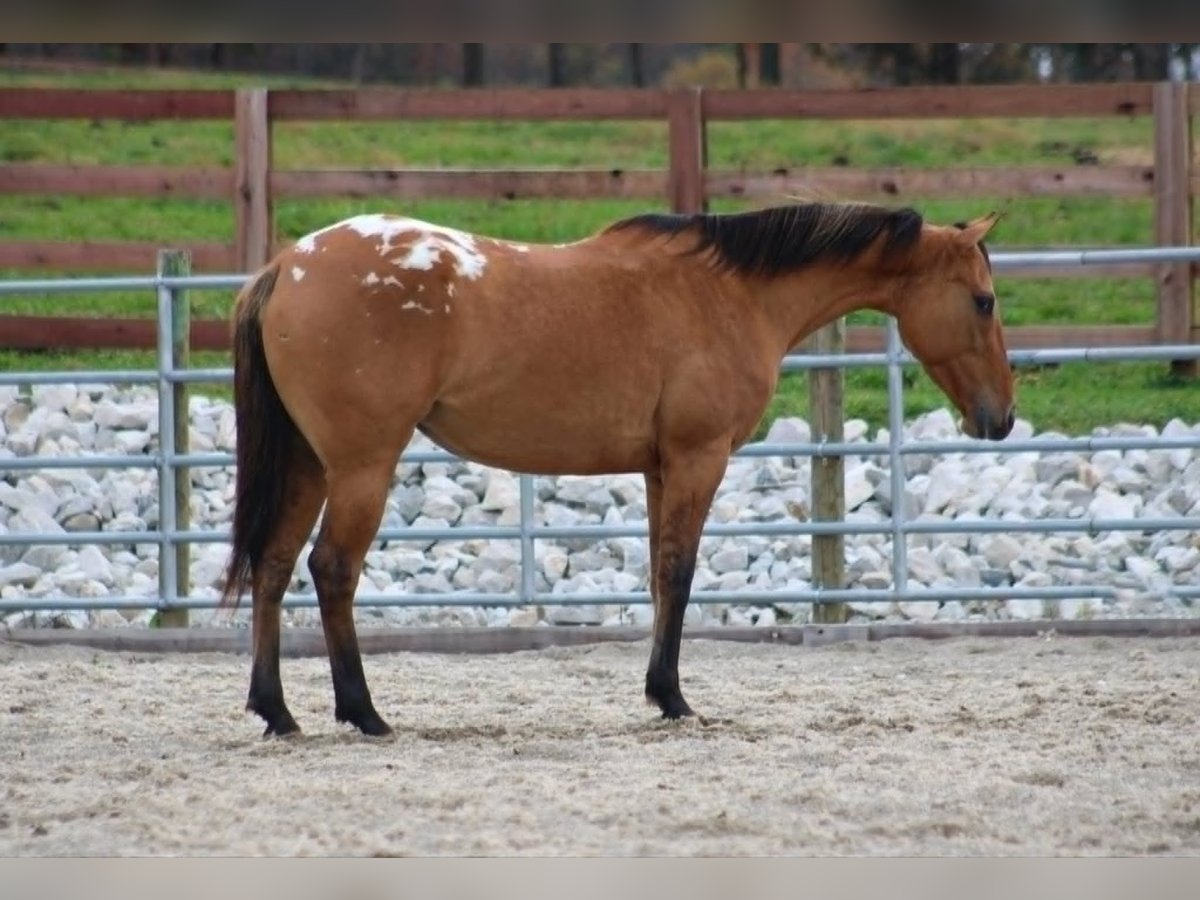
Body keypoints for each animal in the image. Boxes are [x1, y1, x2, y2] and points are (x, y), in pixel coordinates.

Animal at [218, 200, 1012, 734]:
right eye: (984, 300)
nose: (1000, 417)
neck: (728, 292)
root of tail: (288, 266)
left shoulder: (661, 468)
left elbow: (661, 575)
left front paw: (661, 692)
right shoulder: (697, 457)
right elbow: (679, 573)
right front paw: (673, 697)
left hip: (309, 465)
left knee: (275, 566)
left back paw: (277, 711)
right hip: (362, 467)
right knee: (331, 570)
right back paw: (363, 712)